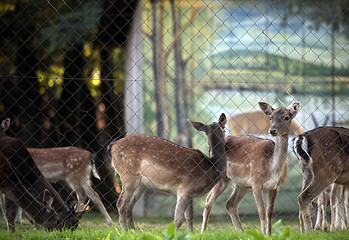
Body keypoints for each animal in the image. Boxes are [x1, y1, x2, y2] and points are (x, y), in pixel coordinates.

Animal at [200, 101, 300, 234]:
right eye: (270, 117)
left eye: (287, 117)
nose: (272, 130)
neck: (271, 168)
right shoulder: (256, 182)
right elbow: (261, 212)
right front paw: (263, 234)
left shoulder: (275, 186)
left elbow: (270, 213)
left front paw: (269, 234)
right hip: (222, 178)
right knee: (208, 201)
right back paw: (202, 231)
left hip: (242, 184)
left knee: (230, 204)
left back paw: (241, 232)